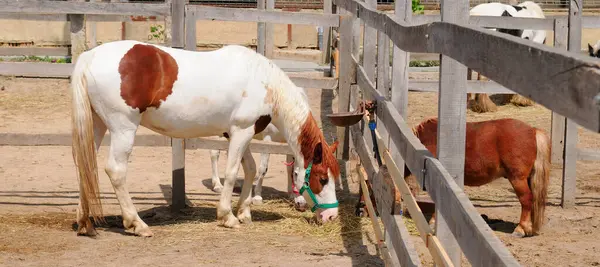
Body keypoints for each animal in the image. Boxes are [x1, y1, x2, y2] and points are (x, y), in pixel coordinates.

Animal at [69, 39, 342, 237]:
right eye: (322, 178)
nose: (332, 216)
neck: (264, 83)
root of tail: (89, 56)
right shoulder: (242, 131)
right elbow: (232, 173)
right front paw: (228, 216)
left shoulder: (236, 133)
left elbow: (251, 169)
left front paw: (244, 212)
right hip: (123, 128)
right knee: (115, 171)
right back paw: (137, 224)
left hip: (97, 125)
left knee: (86, 166)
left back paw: (85, 222)